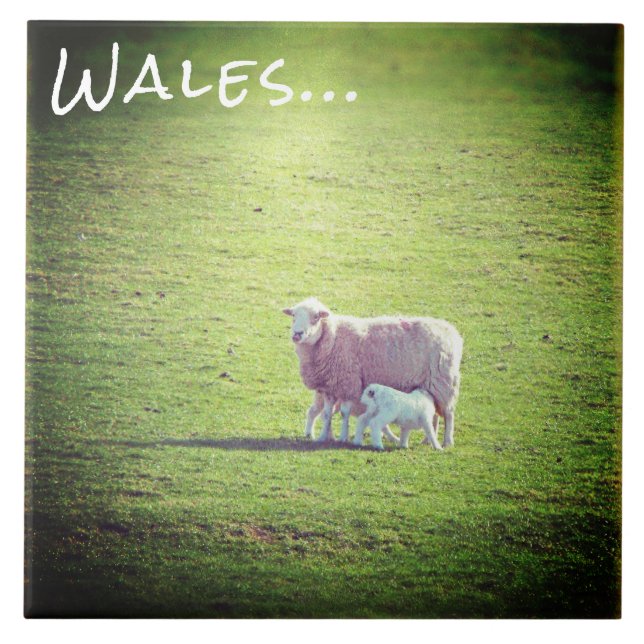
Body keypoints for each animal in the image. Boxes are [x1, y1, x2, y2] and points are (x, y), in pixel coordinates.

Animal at [282, 297, 463, 447]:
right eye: (293, 316)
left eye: (316, 317)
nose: (297, 334)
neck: (333, 338)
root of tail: (452, 331)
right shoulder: (329, 388)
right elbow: (327, 415)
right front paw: (323, 437)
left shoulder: (348, 384)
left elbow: (344, 413)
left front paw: (342, 437)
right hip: (430, 385)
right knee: (435, 414)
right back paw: (427, 440)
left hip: (443, 381)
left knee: (448, 414)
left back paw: (447, 442)